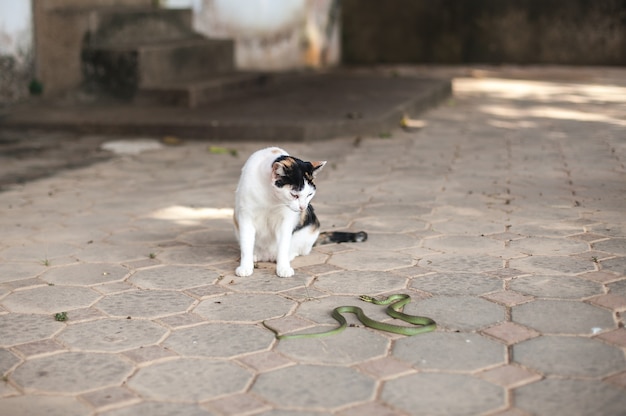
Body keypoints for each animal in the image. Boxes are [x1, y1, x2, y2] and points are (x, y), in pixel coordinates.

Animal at [234, 146, 366, 276]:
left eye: (309, 194)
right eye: (294, 195)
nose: (302, 207)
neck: (271, 196)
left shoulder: (286, 221)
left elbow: (283, 244)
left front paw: (283, 267)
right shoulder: (245, 216)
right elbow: (246, 244)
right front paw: (245, 266)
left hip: (311, 228)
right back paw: (255, 255)